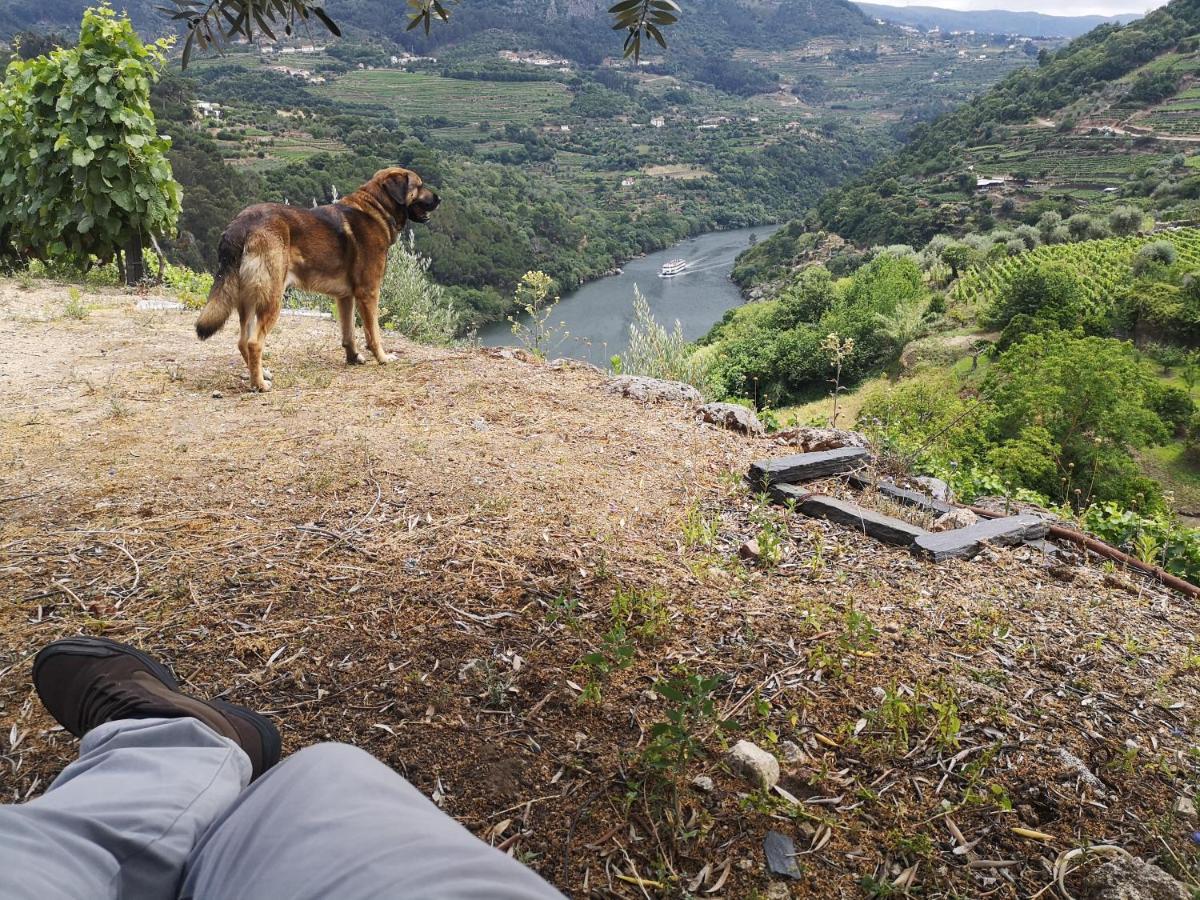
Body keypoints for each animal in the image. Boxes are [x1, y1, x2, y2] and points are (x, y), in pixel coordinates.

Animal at [196, 168, 441, 391]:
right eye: (420, 185)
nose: (439, 198)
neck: (377, 207)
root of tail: (240, 224)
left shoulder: (345, 297)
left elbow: (348, 333)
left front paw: (353, 357)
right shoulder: (369, 292)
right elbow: (373, 333)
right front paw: (382, 358)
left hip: (248, 299)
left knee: (242, 342)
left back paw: (261, 373)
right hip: (272, 298)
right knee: (254, 343)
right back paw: (259, 384)